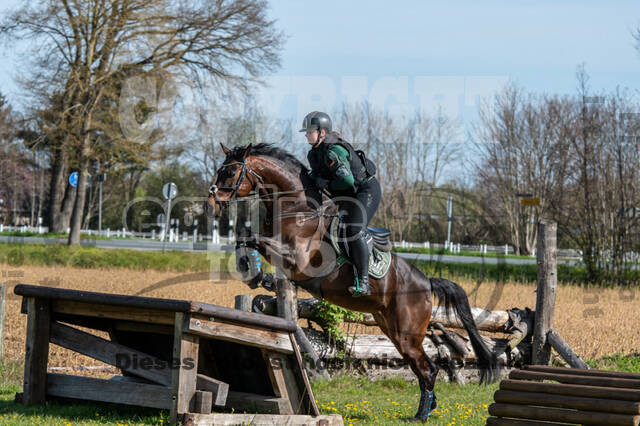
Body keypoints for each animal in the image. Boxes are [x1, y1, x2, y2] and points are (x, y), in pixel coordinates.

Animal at [205, 142, 500, 420]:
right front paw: (253, 271)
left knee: (428, 368)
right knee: (422, 367)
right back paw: (427, 409)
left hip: (408, 332)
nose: (211, 203)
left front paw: (253, 269)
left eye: (230, 172)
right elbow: (245, 236)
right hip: (393, 330)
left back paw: (421, 415)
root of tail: (426, 281)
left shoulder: (297, 260)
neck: (297, 209)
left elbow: (253, 237)